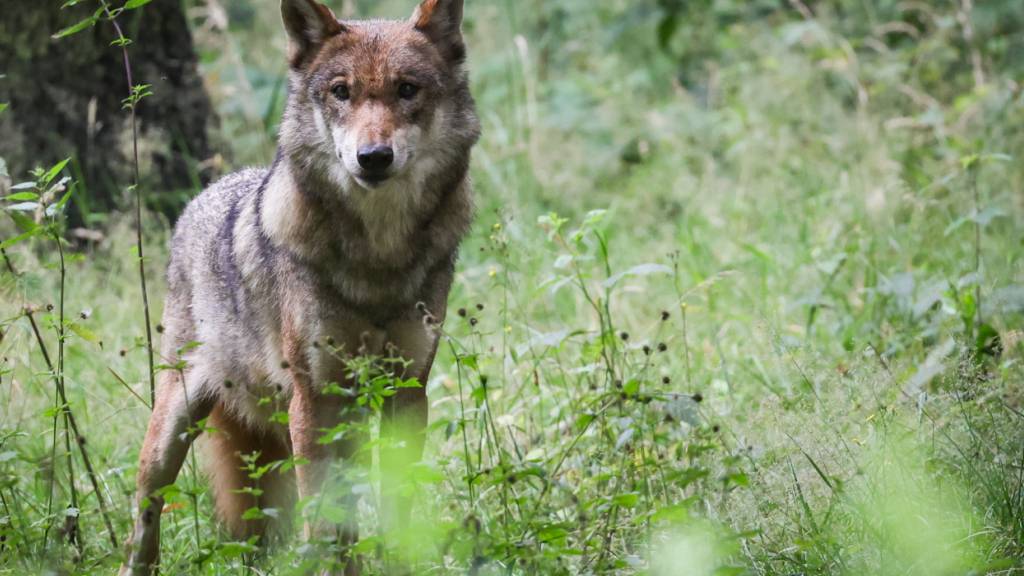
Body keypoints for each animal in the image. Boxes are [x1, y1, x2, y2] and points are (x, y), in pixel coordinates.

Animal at [121, 0, 481, 569]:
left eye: (407, 89)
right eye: (341, 91)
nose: (373, 157)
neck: (378, 259)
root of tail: (203, 196)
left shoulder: (406, 392)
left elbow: (395, 511)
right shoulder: (314, 400)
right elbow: (321, 518)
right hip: (174, 427)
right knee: (144, 515)